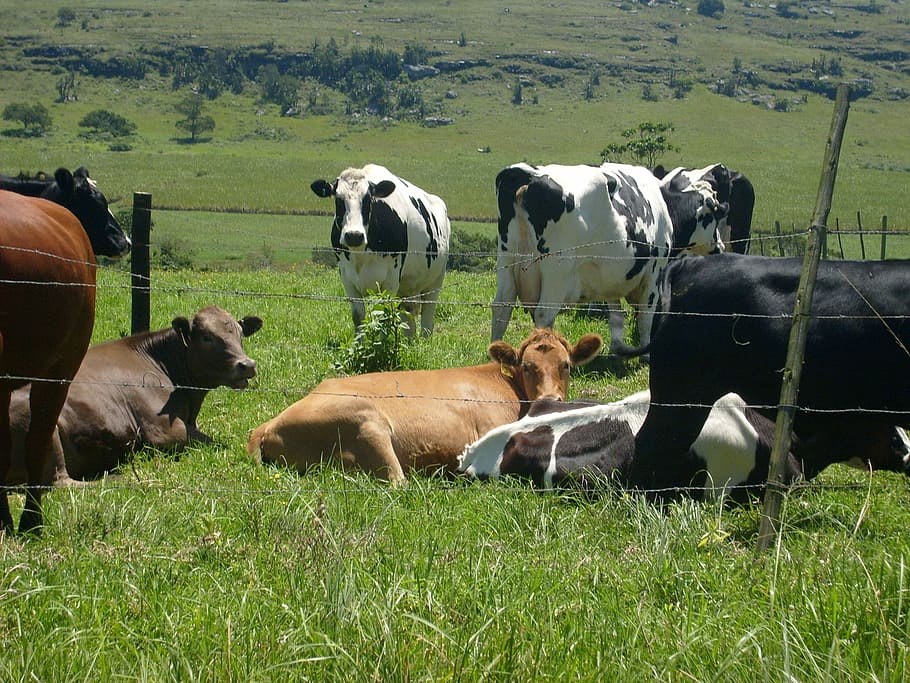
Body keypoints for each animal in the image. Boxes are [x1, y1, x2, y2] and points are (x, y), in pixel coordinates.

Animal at [4, 306, 262, 486]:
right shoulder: (164, 430)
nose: (247, 364)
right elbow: (213, 442)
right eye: (207, 337)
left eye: (240, 334)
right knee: (61, 482)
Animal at [310, 164, 451, 337]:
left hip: (436, 281)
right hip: (408, 286)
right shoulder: (347, 278)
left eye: (368, 200)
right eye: (338, 199)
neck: (361, 255)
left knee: (427, 320)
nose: (354, 235)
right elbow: (358, 317)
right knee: (408, 315)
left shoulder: (391, 279)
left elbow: (384, 316)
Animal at [490, 162, 727, 356]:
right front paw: (645, 354)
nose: (721, 247)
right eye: (714, 216)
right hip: (557, 272)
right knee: (543, 315)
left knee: (501, 308)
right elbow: (645, 317)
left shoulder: (611, 279)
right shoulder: (653, 274)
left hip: (507, 262)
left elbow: (616, 316)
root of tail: (530, 173)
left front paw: (617, 349)